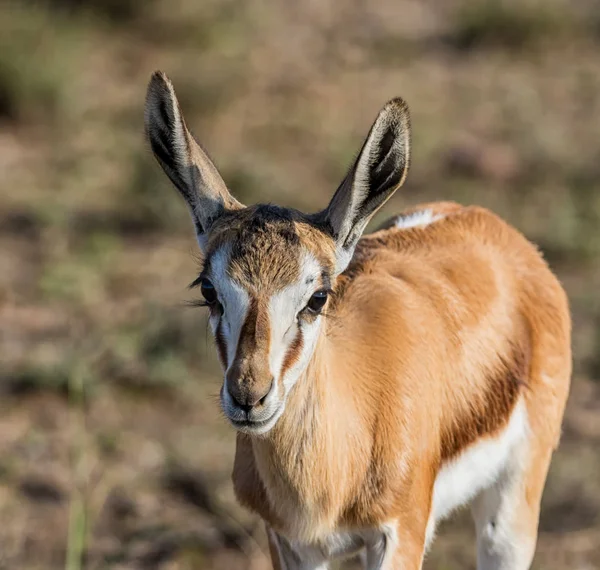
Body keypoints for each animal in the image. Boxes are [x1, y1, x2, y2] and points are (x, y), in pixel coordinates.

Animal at [145, 72, 572, 568]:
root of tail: (487, 223)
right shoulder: (291, 543)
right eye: (209, 290)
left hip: (511, 512)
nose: (249, 396)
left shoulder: (400, 533)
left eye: (317, 296)